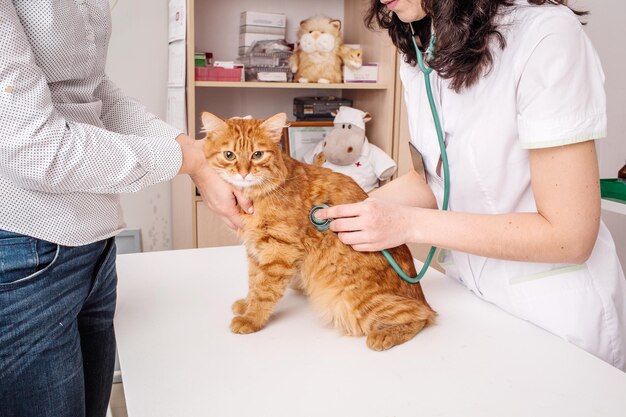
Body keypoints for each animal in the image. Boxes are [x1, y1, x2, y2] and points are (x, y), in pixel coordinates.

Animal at [201, 111, 434, 352]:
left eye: (257, 154)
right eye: (229, 155)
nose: (243, 173)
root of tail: (419, 292)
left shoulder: (279, 251)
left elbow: (264, 291)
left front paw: (251, 318)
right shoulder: (256, 251)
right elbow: (253, 282)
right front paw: (246, 304)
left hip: (350, 301)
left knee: (421, 315)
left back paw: (384, 336)